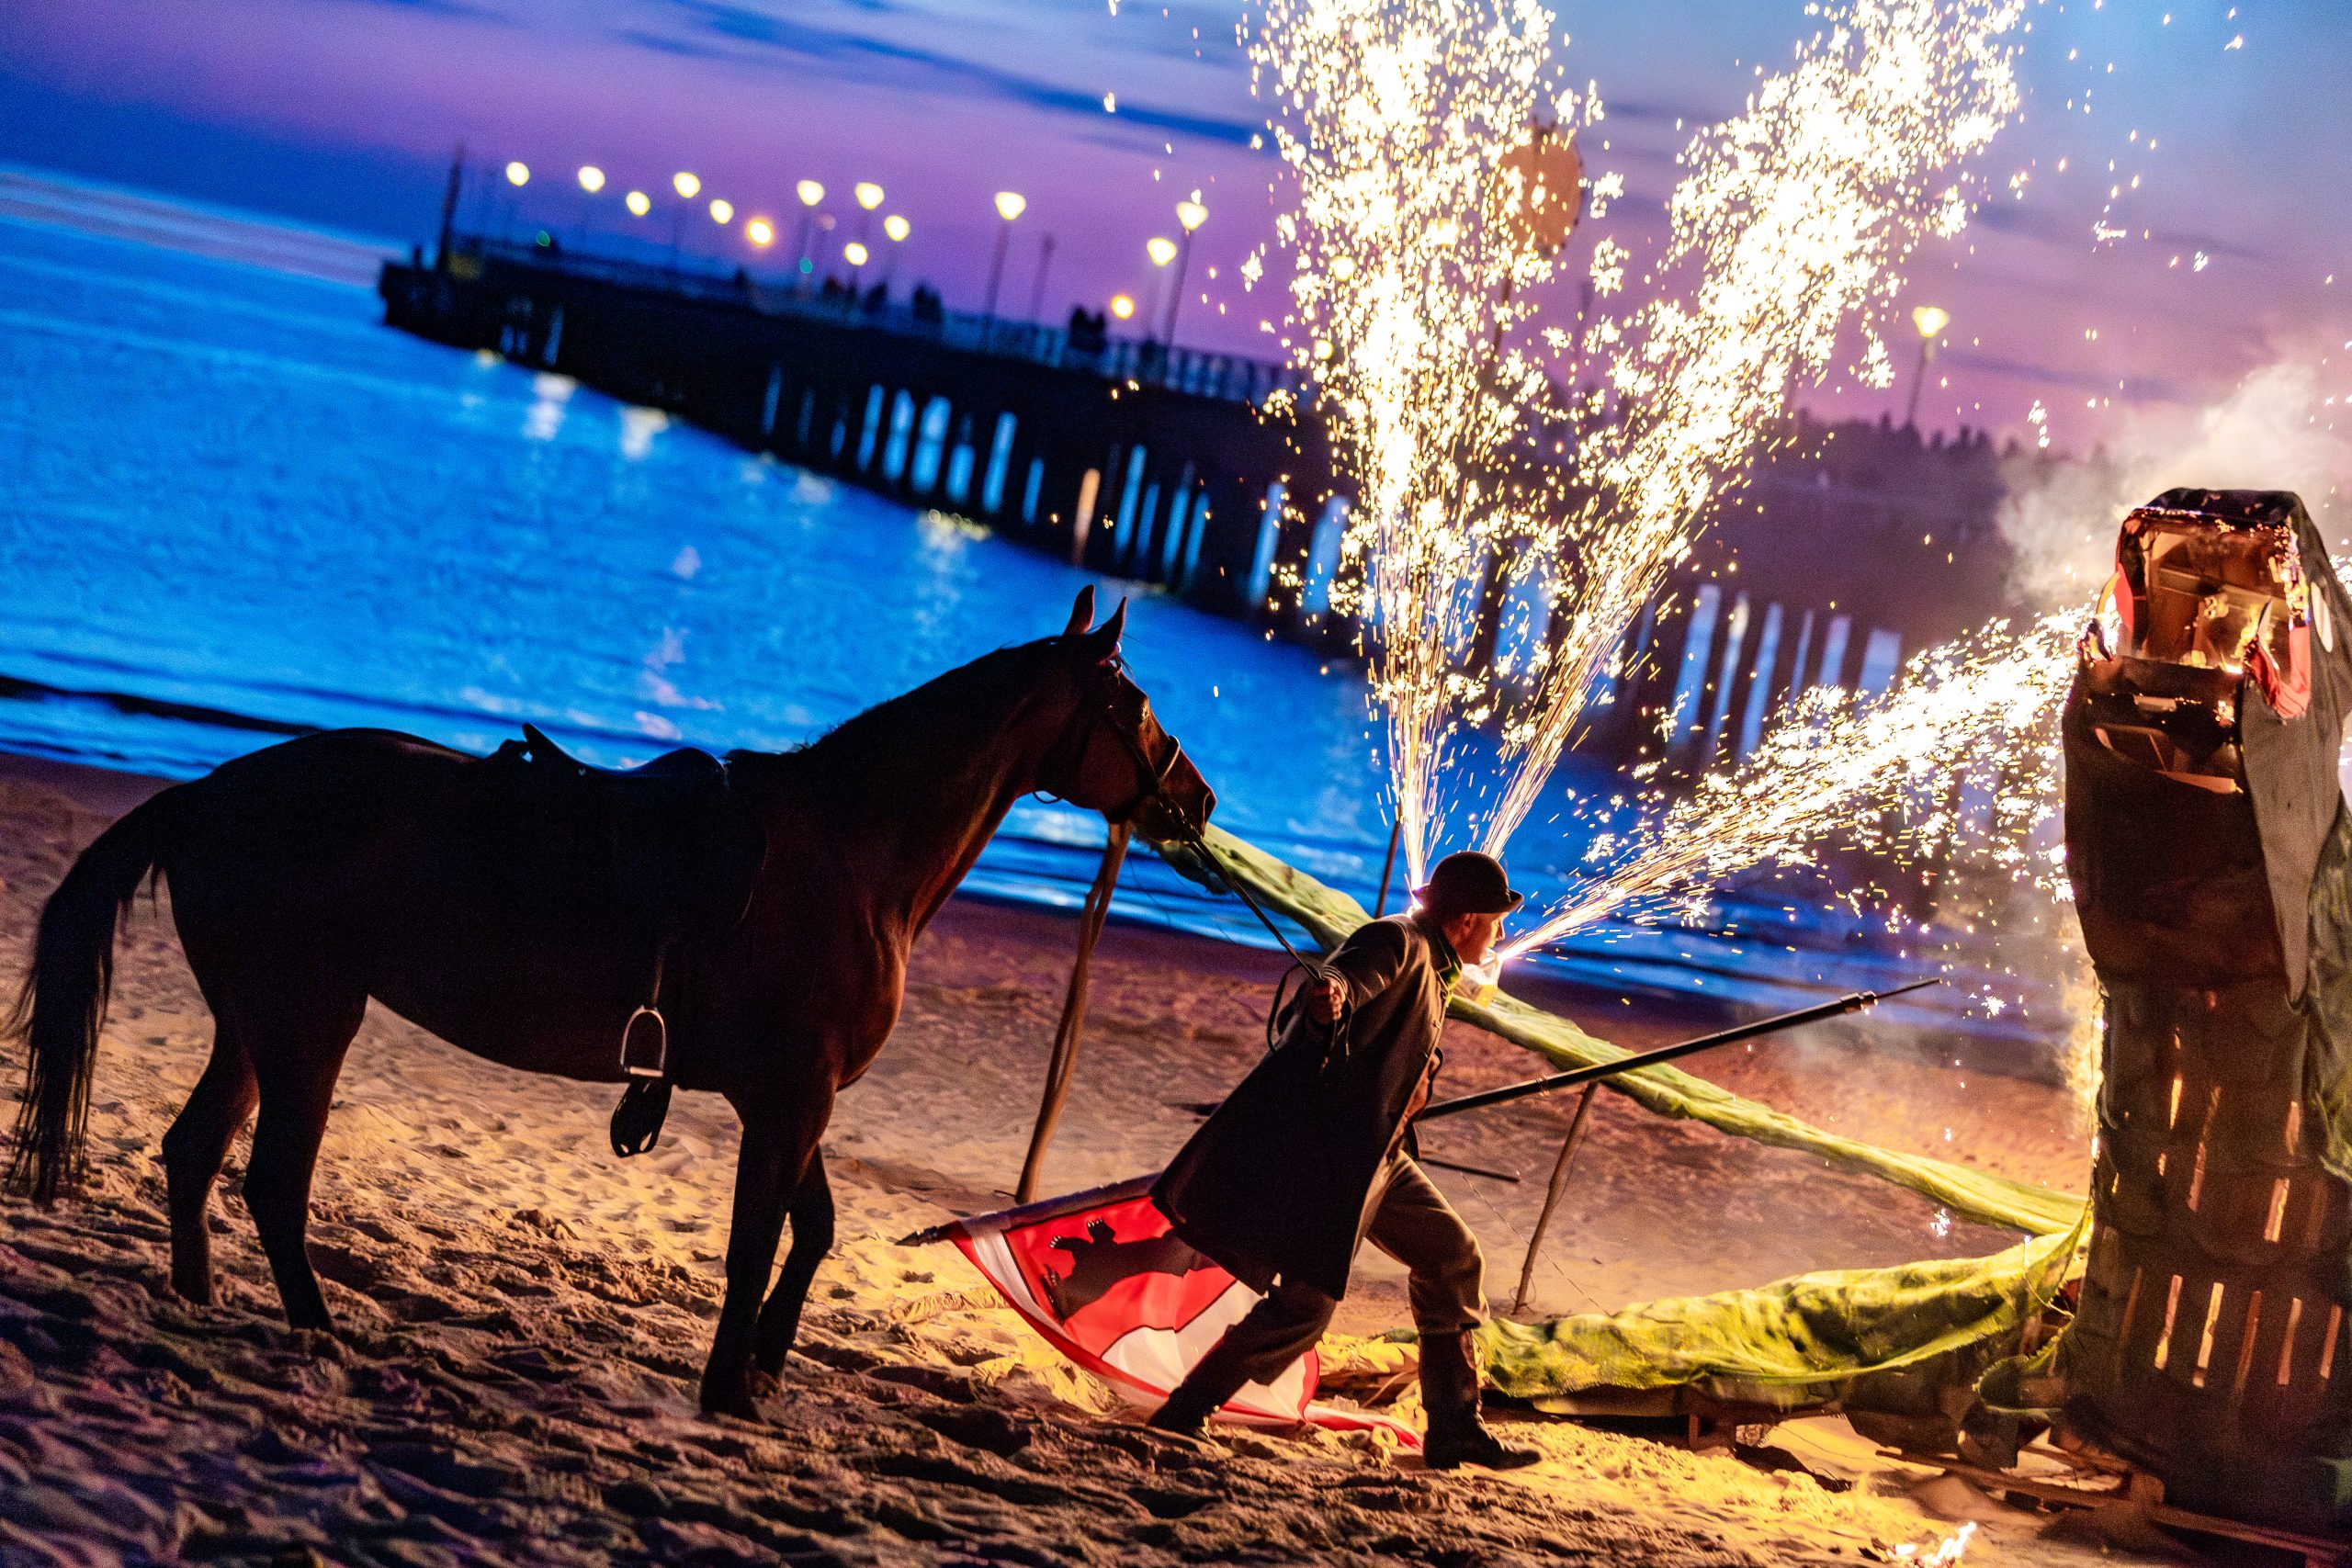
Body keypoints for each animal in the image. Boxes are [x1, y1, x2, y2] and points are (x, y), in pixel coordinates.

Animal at [4, 586, 1212, 1417]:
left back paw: (199, 1301)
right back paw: (319, 1328)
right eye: (1134, 701)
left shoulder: (793, 1100)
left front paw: (765, 1368)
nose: (1197, 799)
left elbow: (811, 1233)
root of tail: (208, 790)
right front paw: (729, 1389)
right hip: (307, 1027)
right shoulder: (789, 1102)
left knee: (195, 1152)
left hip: (259, 1028)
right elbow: (757, 1244)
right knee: (268, 1183)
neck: (853, 854)